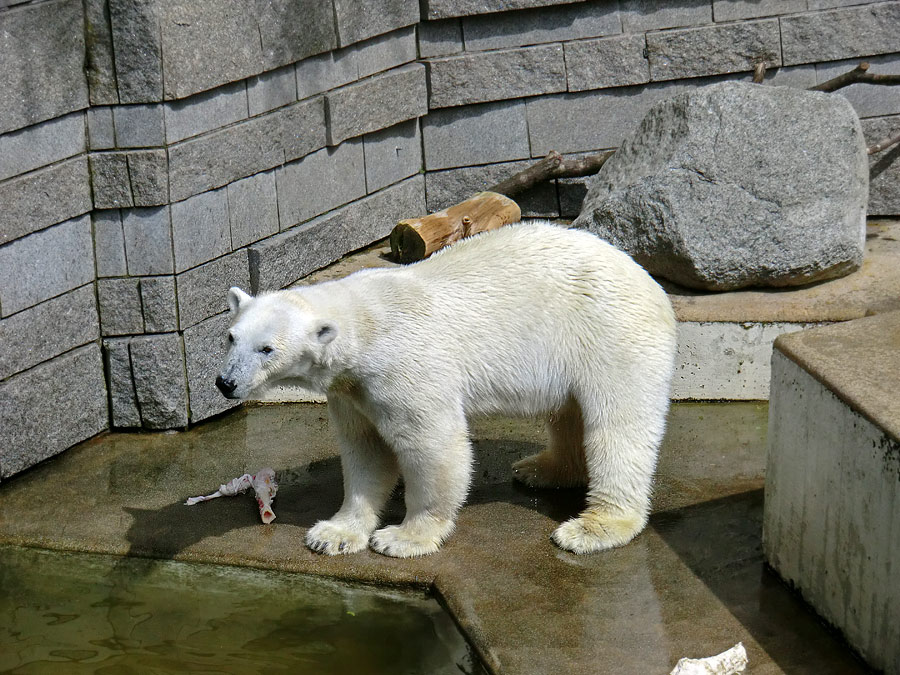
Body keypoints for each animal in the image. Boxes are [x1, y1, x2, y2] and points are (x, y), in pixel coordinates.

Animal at [216, 222, 676, 560]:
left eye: (267, 348)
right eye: (231, 337)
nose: (225, 382)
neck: (366, 325)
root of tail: (650, 283)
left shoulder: (404, 367)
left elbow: (432, 446)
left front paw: (402, 538)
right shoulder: (351, 390)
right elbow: (365, 450)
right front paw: (333, 534)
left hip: (607, 334)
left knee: (616, 427)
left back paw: (594, 527)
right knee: (567, 415)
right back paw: (541, 469)